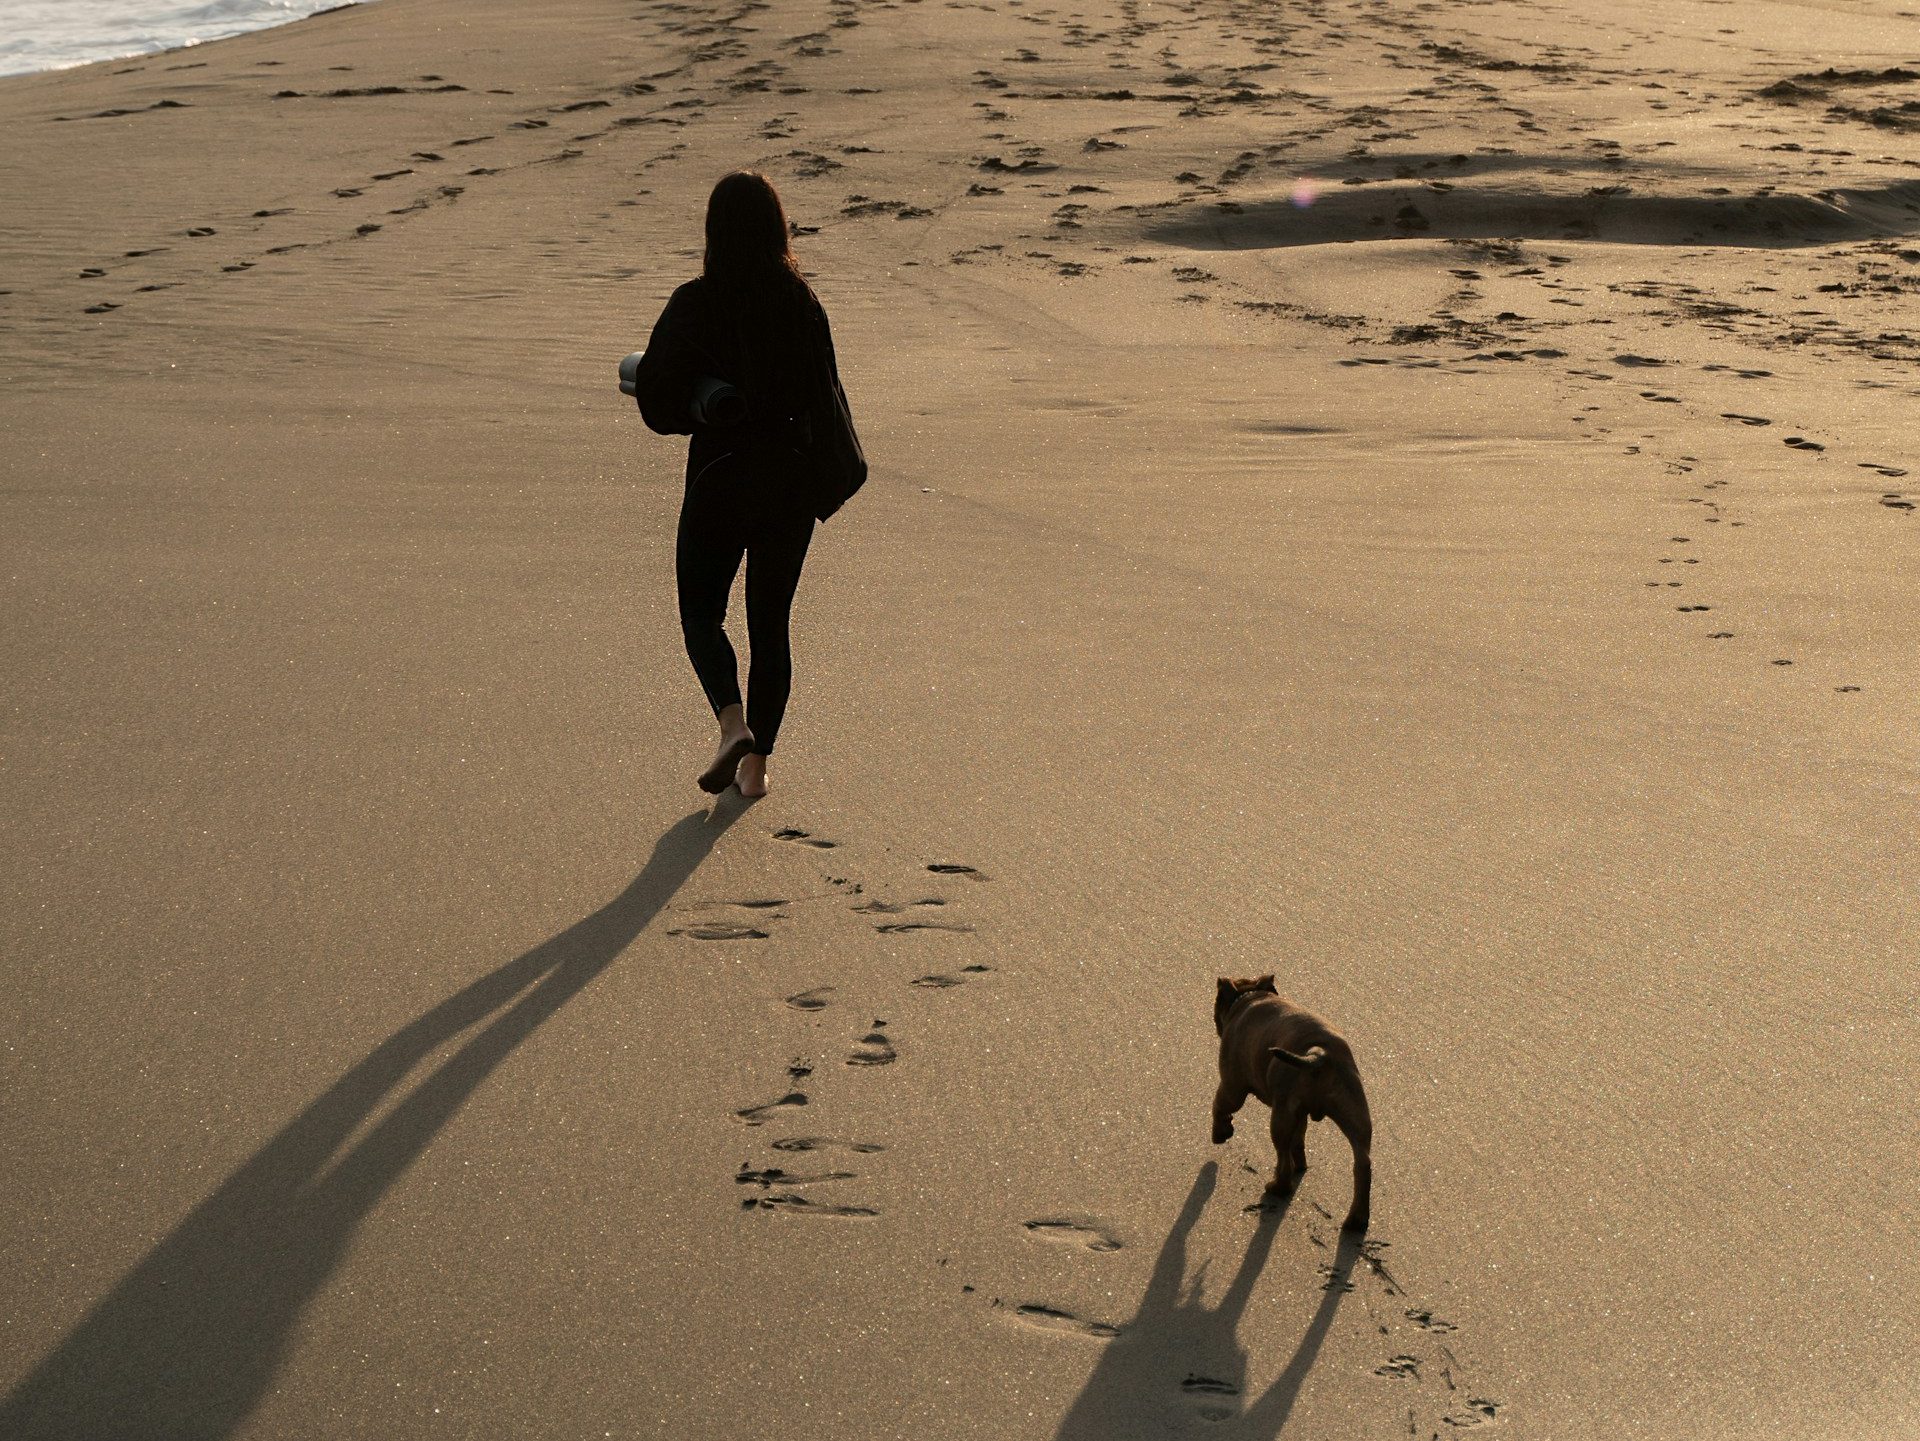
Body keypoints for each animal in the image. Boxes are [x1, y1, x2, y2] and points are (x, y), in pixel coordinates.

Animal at [1213, 974, 1367, 1235]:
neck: (1249, 997)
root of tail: (1318, 1053)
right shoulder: (1300, 1115)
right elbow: (1299, 1139)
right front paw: (1301, 1164)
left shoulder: (1232, 1087)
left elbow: (1219, 1107)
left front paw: (1220, 1133)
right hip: (1355, 1115)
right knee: (1362, 1164)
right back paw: (1357, 1221)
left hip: (1280, 1116)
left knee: (1283, 1160)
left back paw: (1276, 1187)